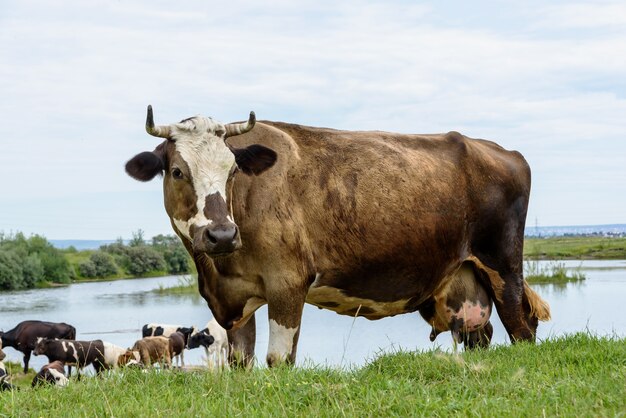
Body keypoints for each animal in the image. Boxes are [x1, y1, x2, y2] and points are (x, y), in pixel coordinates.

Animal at [124, 107, 548, 366]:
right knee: (482, 334)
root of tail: (499, 149)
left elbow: (279, 359)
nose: (222, 234)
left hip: (503, 266)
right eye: (177, 171)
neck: (218, 271)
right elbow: (240, 361)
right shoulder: (236, 300)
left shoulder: (288, 283)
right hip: (465, 281)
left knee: (521, 328)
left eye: (233, 171)